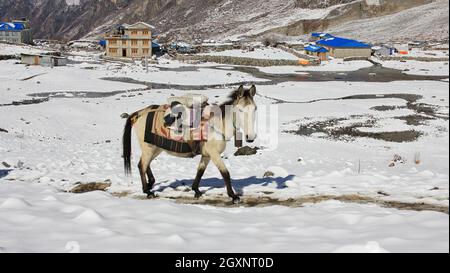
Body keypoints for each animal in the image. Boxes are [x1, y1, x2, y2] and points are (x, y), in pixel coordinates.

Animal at [122, 84, 256, 202]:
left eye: (255, 108)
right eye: (240, 110)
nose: (250, 137)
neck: (218, 124)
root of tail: (139, 113)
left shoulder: (206, 155)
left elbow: (200, 171)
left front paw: (196, 191)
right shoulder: (214, 154)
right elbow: (225, 173)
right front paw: (233, 196)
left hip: (155, 148)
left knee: (146, 164)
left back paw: (151, 183)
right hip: (149, 148)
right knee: (142, 165)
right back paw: (147, 191)